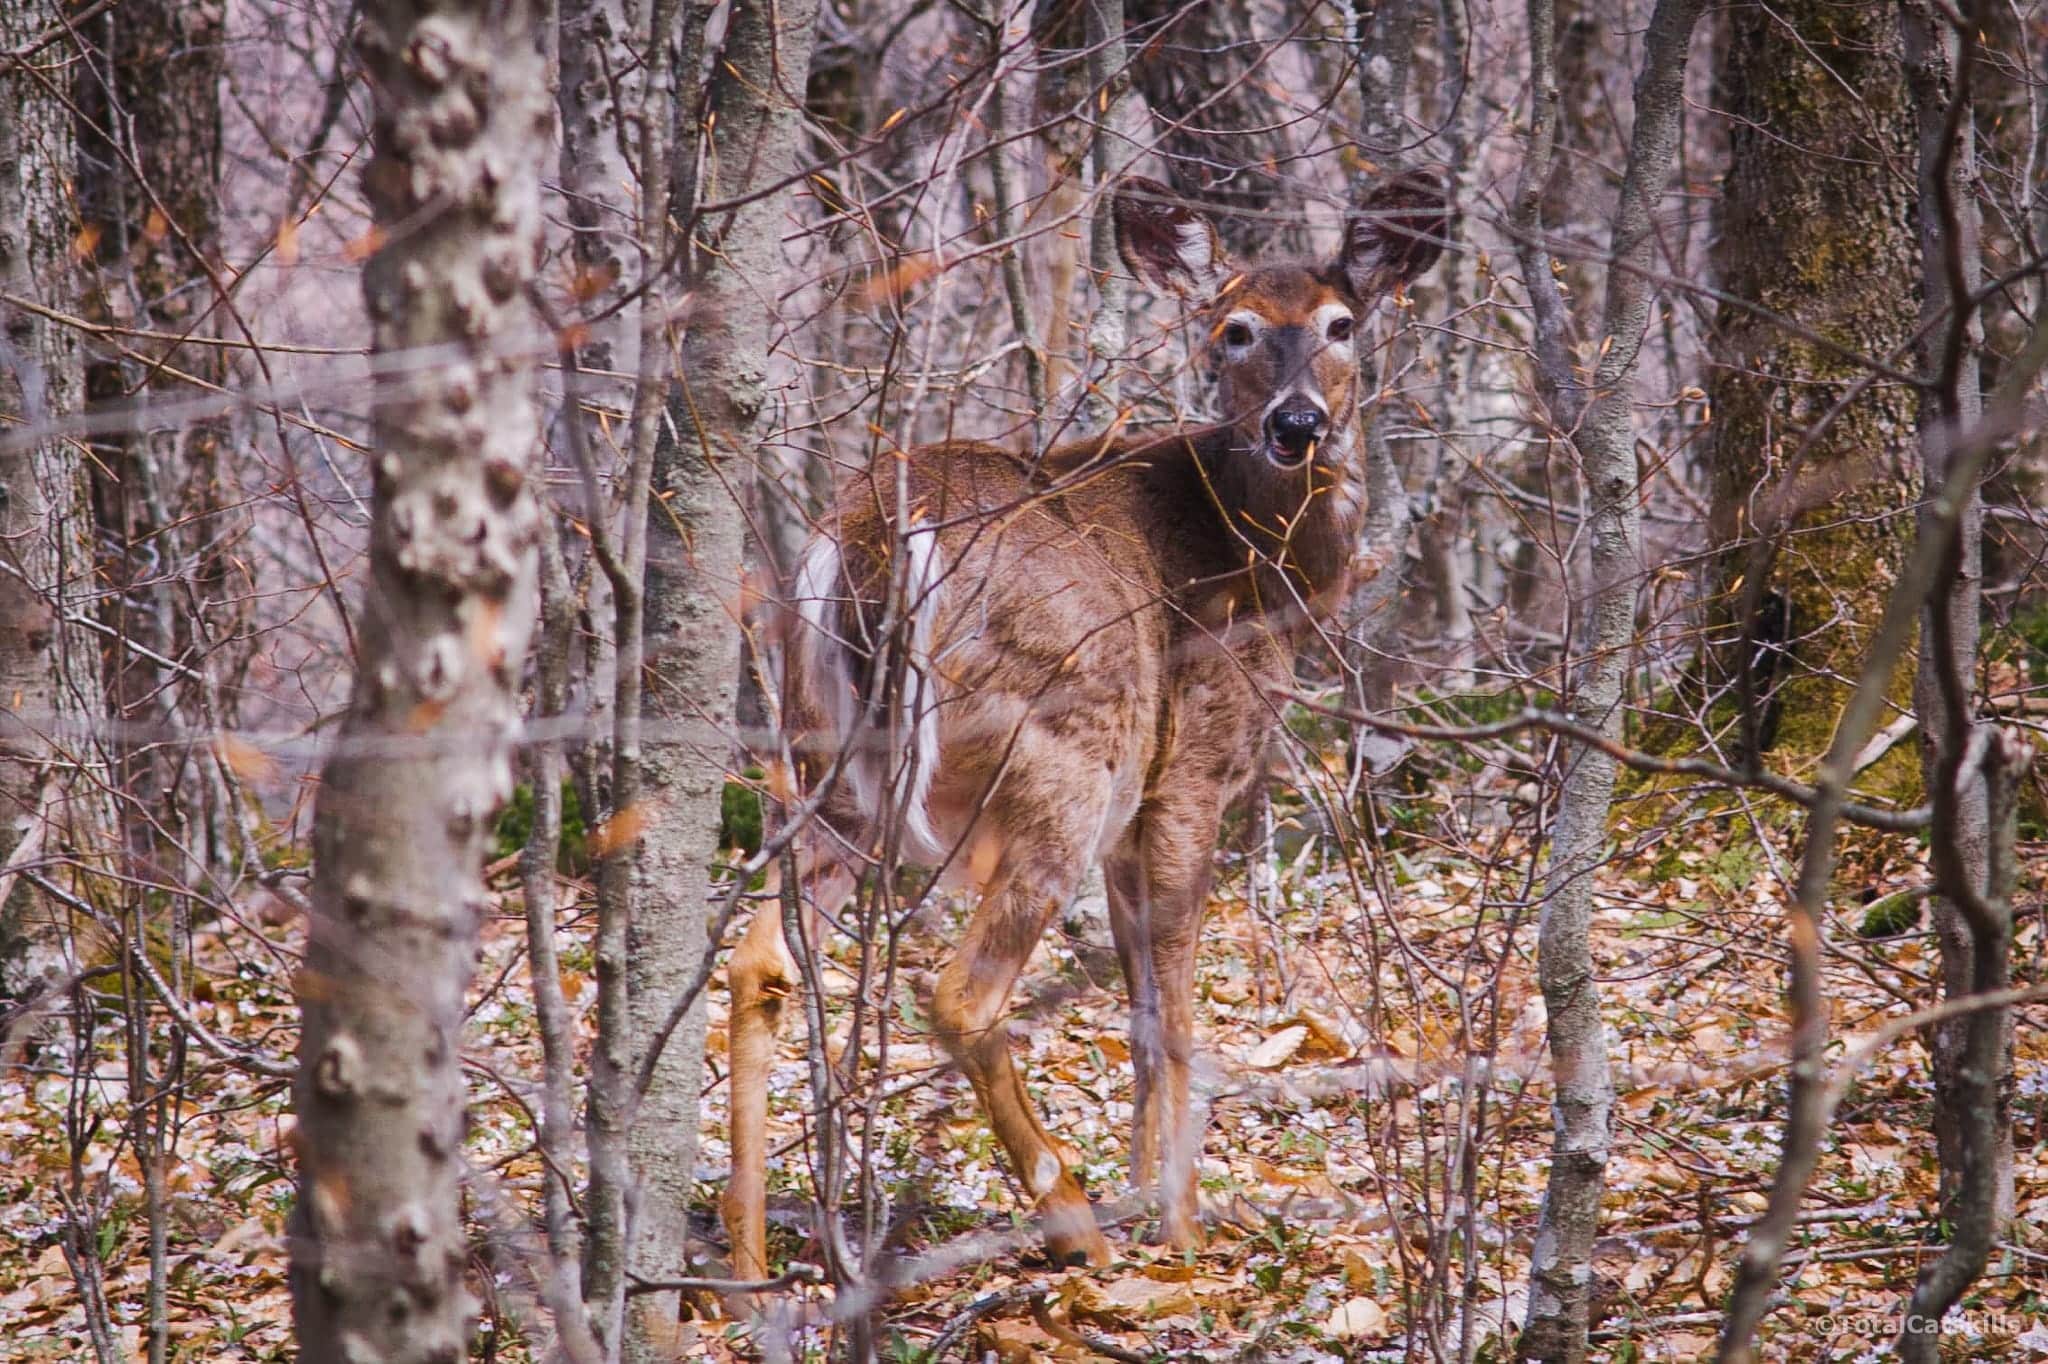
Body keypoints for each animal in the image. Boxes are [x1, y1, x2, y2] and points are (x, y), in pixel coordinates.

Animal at [724, 173, 1458, 1277]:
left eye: (1342, 324)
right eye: (1233, 329)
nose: (1297, 422)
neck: (1261, 566)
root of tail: (869, 540)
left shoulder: (1136, 810)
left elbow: (1141, 1002)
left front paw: (1152, 1191)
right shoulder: (1191, 763)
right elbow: (1177, 995)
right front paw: (1178, 1224)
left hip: (827, 764)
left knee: (757, 961)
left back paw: (743, 1272)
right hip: (1064, 746)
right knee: (960, 992)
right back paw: (1072, 1222)